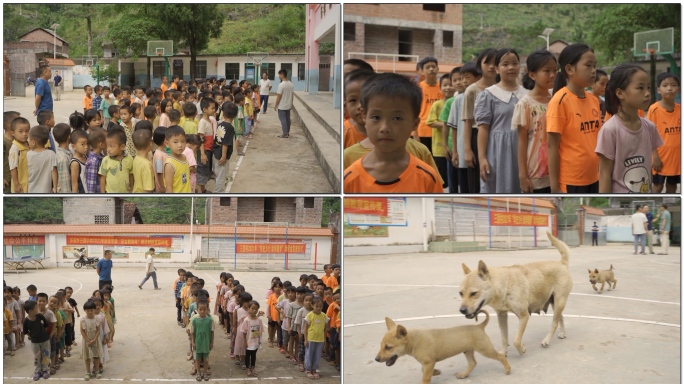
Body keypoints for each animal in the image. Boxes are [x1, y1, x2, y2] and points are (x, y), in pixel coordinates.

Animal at [376, 310, 510, 382]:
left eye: (388, 347)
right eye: (381, 345)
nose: (376, 359)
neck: (414, 340)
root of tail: (479, 326)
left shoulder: (429, 362)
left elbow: (425, 378)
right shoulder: (427, 363)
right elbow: (423, 371)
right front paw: (436, 372)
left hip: (484, 349)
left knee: (501, 356)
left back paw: (508, 369)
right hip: (468, 350)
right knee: (473, 363)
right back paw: (464, 374)